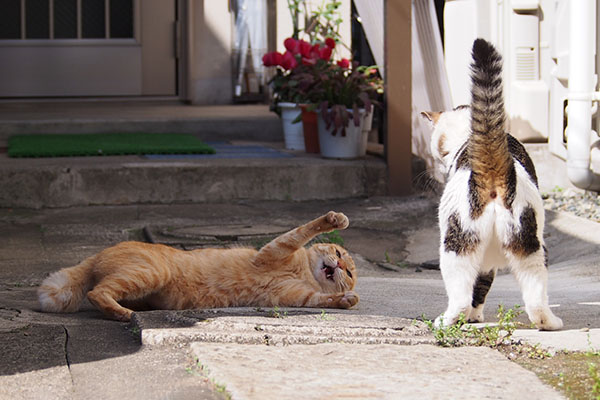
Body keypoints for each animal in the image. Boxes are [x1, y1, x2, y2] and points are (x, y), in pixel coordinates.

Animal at [37, 211, 358, 320]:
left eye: (350, 273)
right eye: (338, 251)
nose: (341, 263)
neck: (304, 273)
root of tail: (98, 254)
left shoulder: (298, 297)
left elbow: (323, 300)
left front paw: (347, 299)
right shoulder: (276, 249)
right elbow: (305, 229)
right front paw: (334, 220)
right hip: (150, 273)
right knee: (96, 293)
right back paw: (122, 314)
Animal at [422, 38, 564, 332]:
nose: (439, 167)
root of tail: (493, 170)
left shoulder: (483, 261)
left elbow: (478, 288)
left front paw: (472, 317)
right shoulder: (489, 261)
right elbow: (482, 286)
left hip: (455, 246)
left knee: (460, 295)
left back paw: (447, 320)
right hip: (529, 248)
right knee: (535, 297)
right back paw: (549, 323)